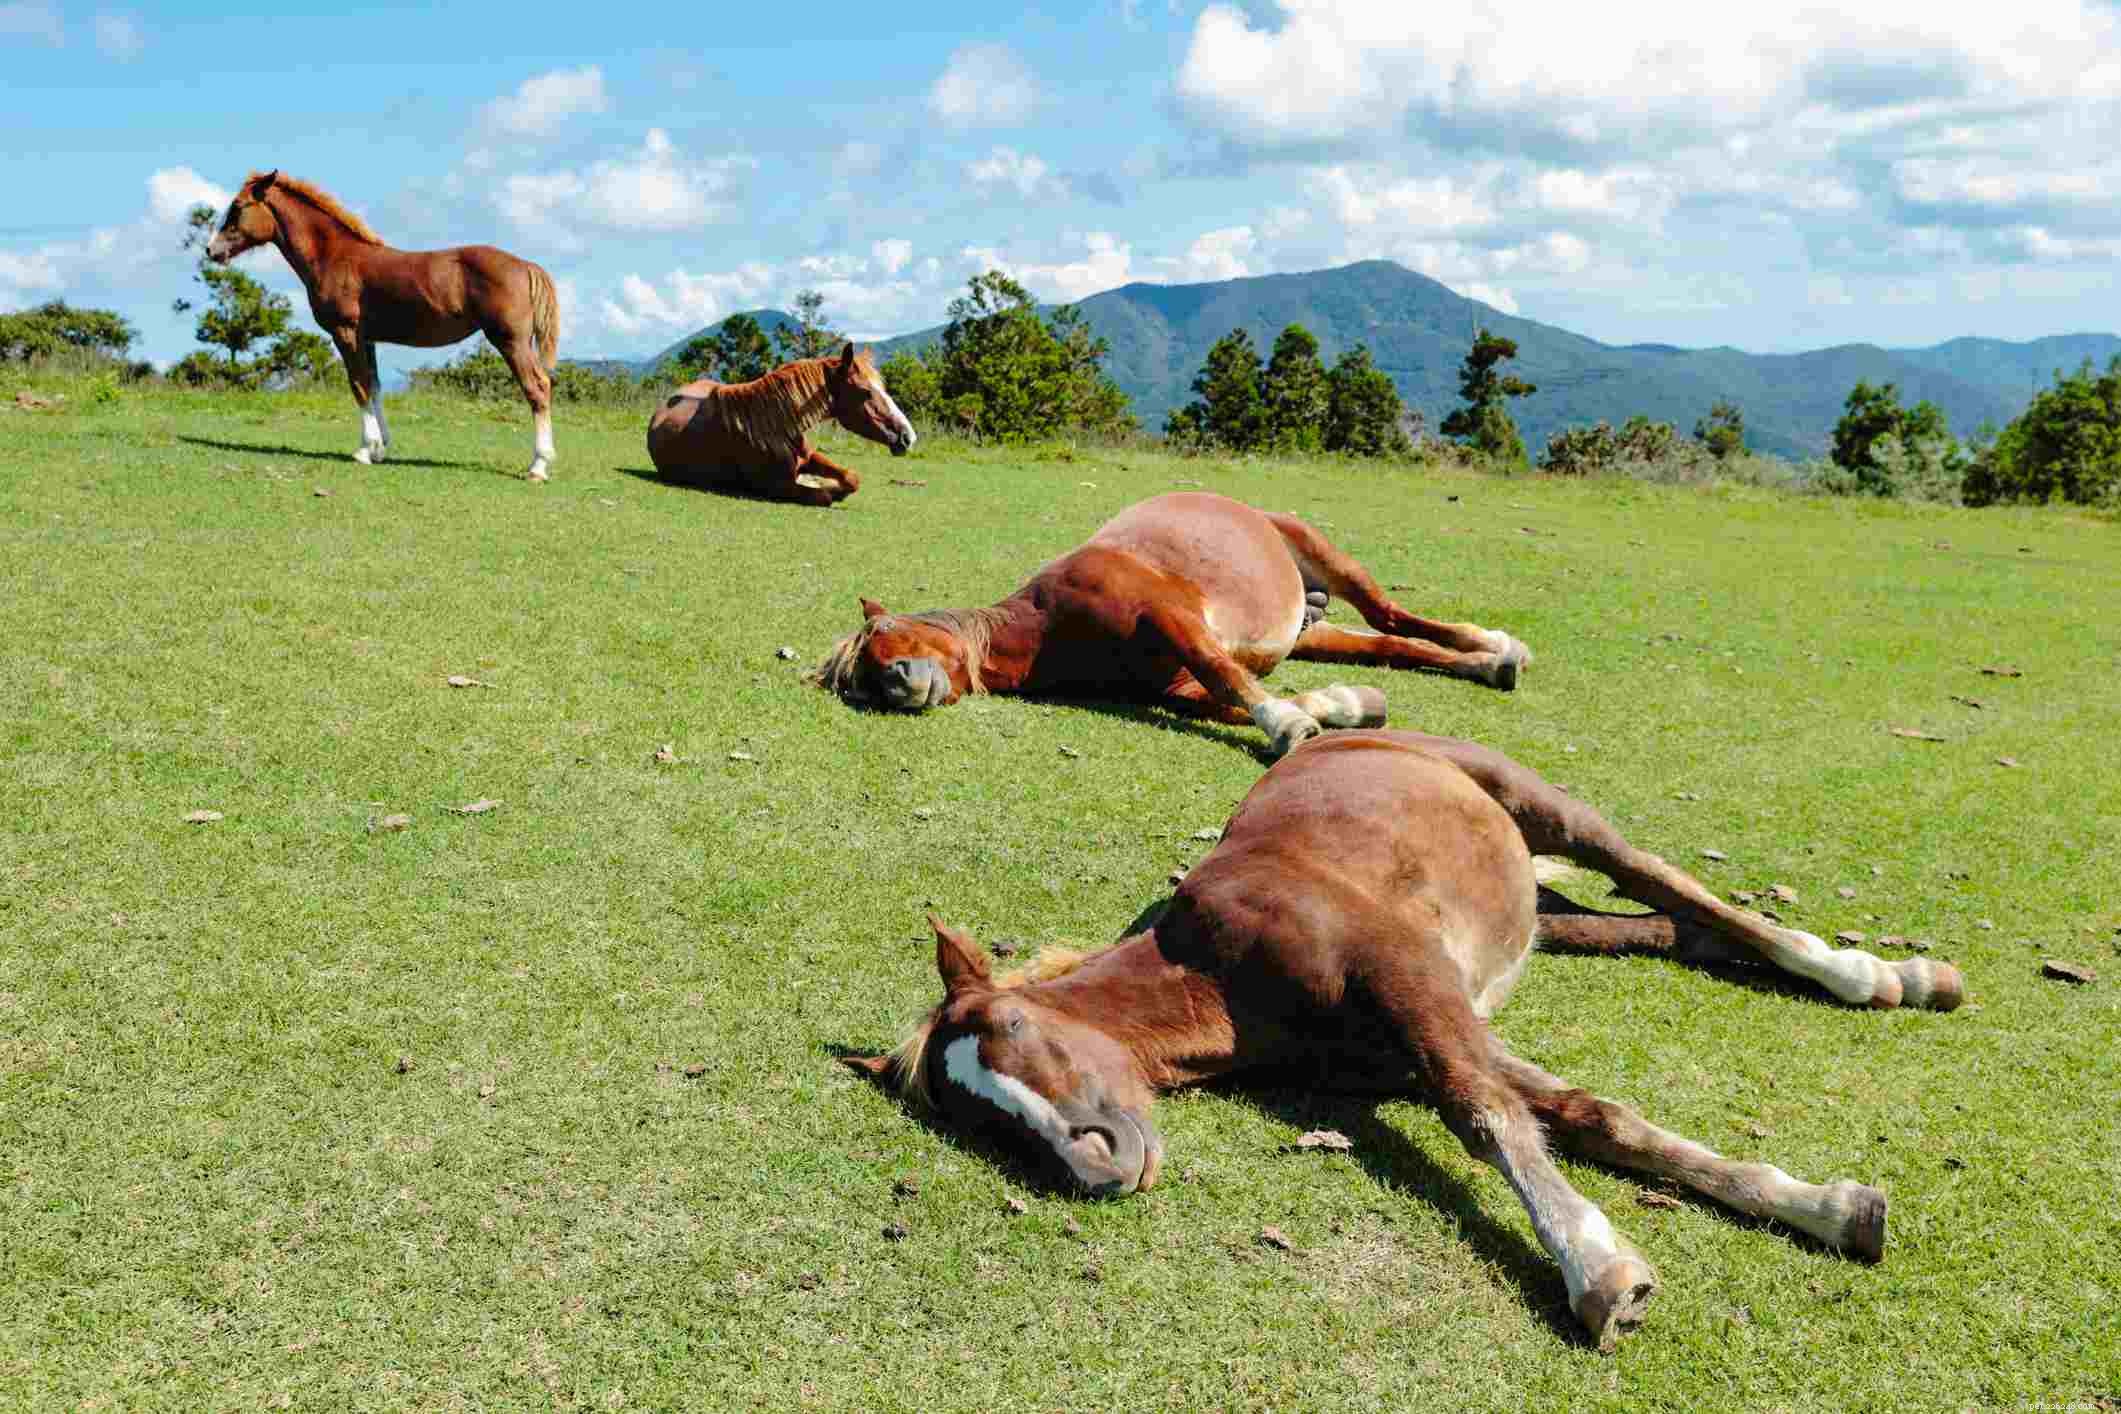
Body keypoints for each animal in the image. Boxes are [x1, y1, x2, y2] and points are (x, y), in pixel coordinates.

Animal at [206, 169, 562, 481]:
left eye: (238, 206)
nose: (212, 249)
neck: (334, 255)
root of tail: (526, 266)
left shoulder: (346, 333)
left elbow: (358, 385)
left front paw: (365, 450)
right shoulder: (368, 339)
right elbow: (374, 386)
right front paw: (381, 448)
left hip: (510, 340)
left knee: (537, 388)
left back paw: (538, 467)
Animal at [645, 344, 915, 507]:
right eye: (865, 392)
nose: (908, 436)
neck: (771, 424)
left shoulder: (809, 456)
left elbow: (851, 477)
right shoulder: (778, 487)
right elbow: (824, 495)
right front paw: (827, 488)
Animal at [814, 491, 1531, 756]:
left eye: (880, 639)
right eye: (859, 683)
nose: (894, 684)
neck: (1048, 626)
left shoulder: (1171, 618)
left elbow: (1225, 677)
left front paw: (1288, 724)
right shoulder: (1170, 685)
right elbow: (1222, 699)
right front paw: (1344, 706)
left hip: (1323, 554)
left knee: (1392, 615)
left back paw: (1495, 645)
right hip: (1313, 632)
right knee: (1392, 642)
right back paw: (1486, 663)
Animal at [844, 729, 1965, 1351]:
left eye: (1014, 1026)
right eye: (980, 1123)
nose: (1096, 1166)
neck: (1222, 968)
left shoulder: (1411, 982)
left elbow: (1487, 1116)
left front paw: (1601, 1274)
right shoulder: (1411, 1039)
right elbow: (1586, 1115)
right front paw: (1829, 1207)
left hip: (1550, 812)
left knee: (1677, 890)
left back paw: (1871, 974)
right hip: (1532, 910)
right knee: (1655, 925)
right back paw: (1902, 978)